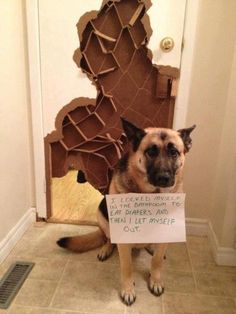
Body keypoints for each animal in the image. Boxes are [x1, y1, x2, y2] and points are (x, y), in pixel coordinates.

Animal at [57, 119, 195, 306]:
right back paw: (106, 248)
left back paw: (150, 247)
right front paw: (128, 289)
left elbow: (157, 261)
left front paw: (156, 280)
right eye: (151, 151)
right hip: (102, 214)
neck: (151, 196)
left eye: (173, 152)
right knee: (108, 238)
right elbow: (127, 266)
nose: (163, 178)